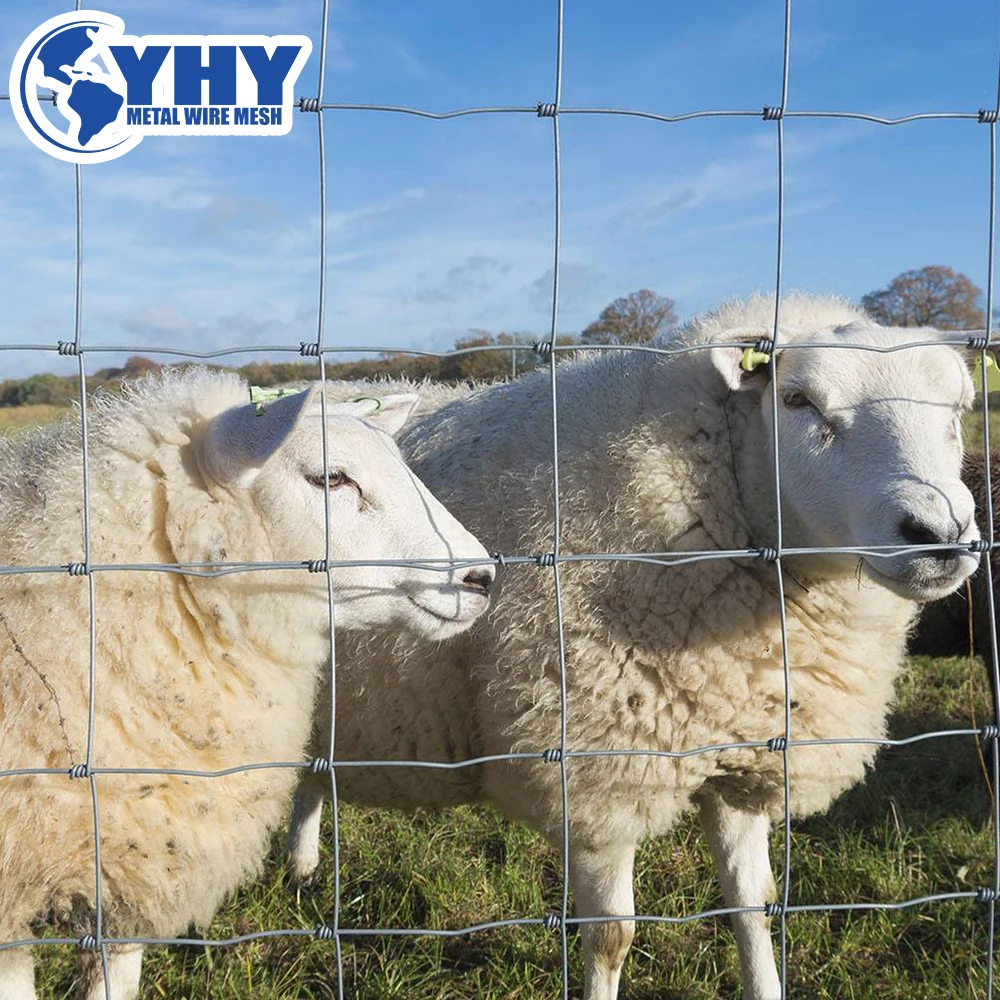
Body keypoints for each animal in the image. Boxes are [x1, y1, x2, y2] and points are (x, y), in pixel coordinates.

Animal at [286, 292, 981, 1000]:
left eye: (958, 410)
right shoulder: (597, 773)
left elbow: (754, 906)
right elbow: (611, 937)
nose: (941, 533)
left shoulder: (742, 753)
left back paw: (303, 867)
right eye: (798, 400)